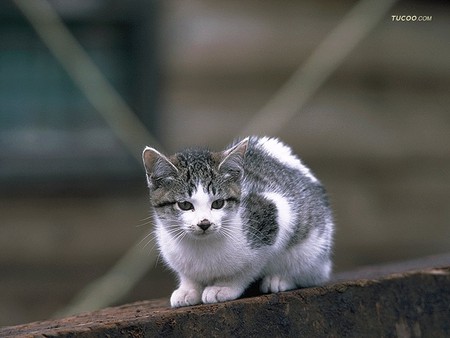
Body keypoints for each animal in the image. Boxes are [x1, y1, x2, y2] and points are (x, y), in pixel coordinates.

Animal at [143, 136, 334, 308]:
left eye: (218, 203)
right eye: (184, 205)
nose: (204, 223)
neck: (202, 245)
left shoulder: (275, 214)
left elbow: (248, 268)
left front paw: (223, 287)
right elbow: (188, 274)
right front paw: (189, 289)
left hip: (312, 251)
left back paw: (280, 279)